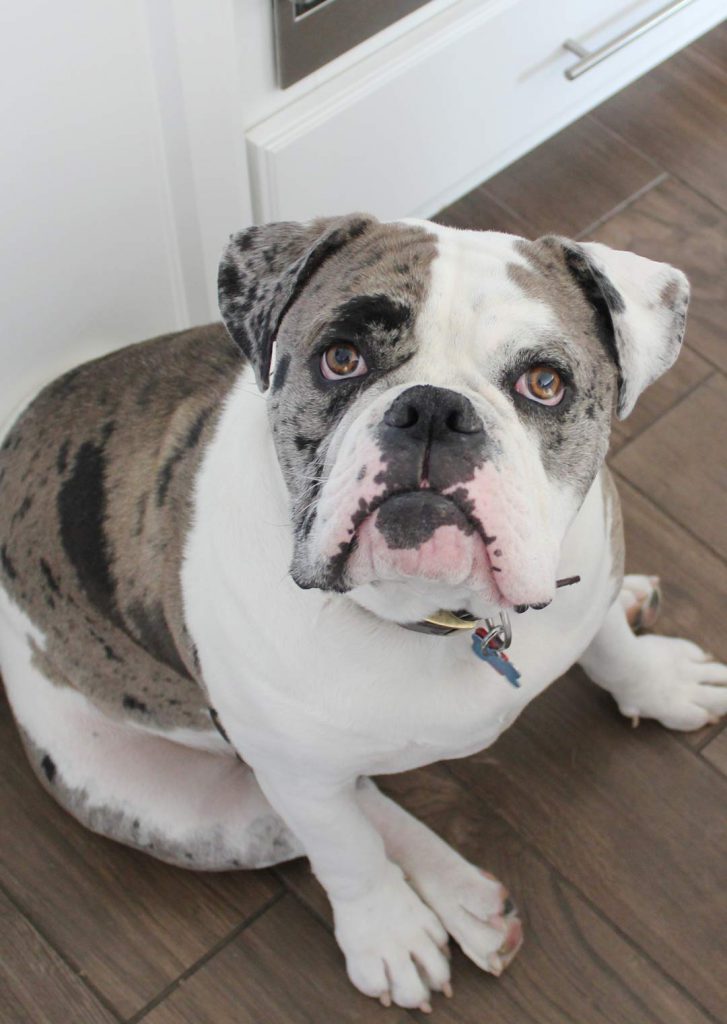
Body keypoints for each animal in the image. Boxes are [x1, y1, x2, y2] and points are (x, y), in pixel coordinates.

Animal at [1, 216, 727, 1007]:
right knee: (344, 811)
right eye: (340, 359)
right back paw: (451, 900)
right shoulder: (292, 772)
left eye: (544, 383)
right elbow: (344, 848)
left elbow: (608, 644)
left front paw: (655, 682)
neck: (440, 618)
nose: (434, 409)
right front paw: (386, 932)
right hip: (192, 815)